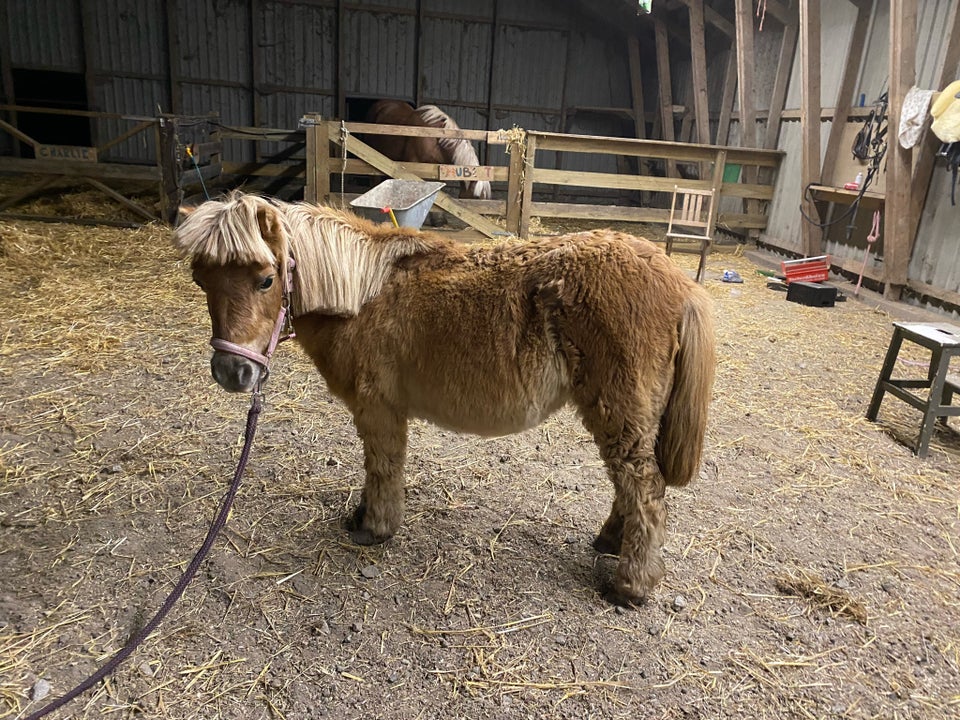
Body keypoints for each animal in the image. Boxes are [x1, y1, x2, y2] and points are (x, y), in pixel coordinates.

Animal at [174, 193, 712, 608]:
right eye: (201, 281)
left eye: (266, 279)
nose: (231, 372)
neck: (361, 295)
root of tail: (678, 281)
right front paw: (363, 514)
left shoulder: (378, 408)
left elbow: (383, 466)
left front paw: (375, 526)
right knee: (631, 484)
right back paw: (611, 543)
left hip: (619, 412)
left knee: (644, 488)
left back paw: (630, 585)